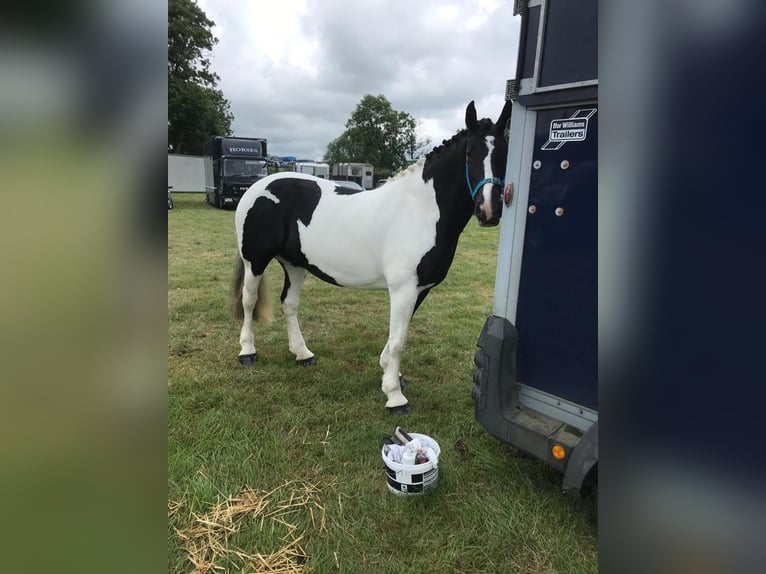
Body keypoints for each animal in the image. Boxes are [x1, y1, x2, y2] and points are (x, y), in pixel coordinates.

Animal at [231, 99, 512, 414]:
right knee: (248, 301)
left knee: (289, 304)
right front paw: (394, 396)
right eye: (469, 153)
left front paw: (390, 373)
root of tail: (258, 186)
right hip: (255, 261)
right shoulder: (403, 289)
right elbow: (399, 339)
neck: (420, 209)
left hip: (295, 264)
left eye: (505, 153)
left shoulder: (420, 289)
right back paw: (247, 351)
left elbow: (399, 335)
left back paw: (303, 353)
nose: (488, 210)